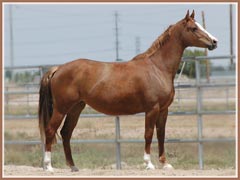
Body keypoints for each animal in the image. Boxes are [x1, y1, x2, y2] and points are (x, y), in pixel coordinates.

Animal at [39, 10, 218, 172]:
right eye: (193, 28)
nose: (214, 42)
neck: (158, 68)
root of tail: (58, 68)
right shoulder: (152, 109)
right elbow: (148, 134)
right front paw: (149, 164)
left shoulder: (163, 110)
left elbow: (161, 134)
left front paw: (165, 164)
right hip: (61, 108)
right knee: (50, 130)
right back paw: (48, 166)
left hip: (76, 108)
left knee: (66, 133)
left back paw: (73, 166)